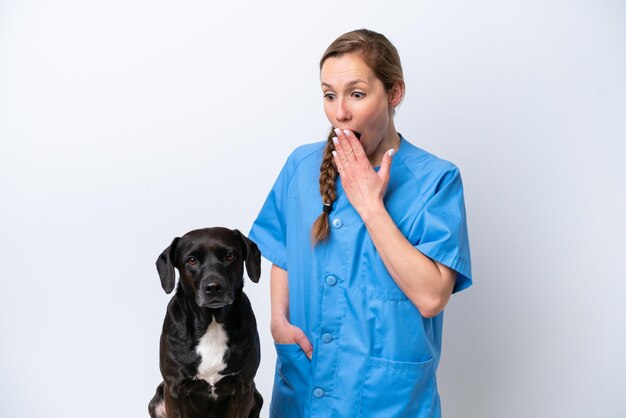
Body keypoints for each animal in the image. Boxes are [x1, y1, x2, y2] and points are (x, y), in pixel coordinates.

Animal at [149, 229, 264, 418]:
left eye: (229, 255)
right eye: (192, 260)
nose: (213, 287)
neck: (212, 323)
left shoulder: (244, 388)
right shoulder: (174, 389)